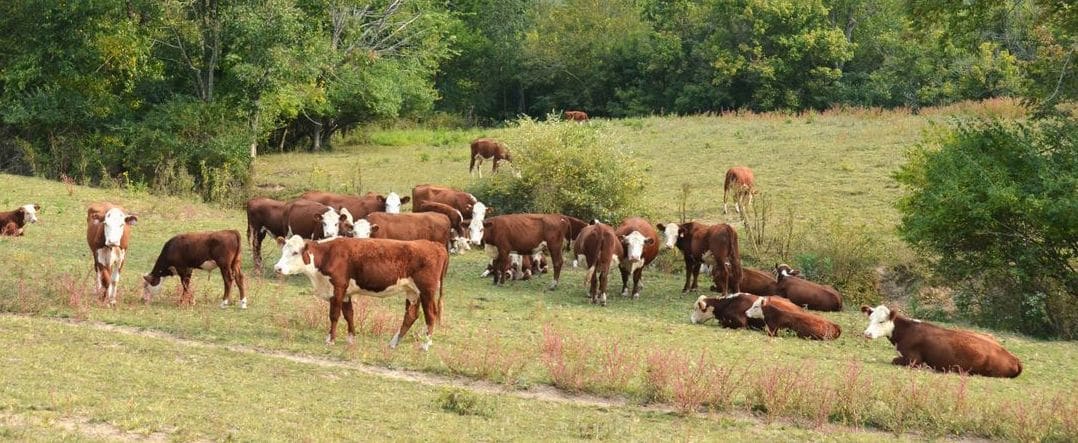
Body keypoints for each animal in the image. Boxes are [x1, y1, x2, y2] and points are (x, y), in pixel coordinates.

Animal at [273, 236, 449, 350]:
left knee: (431, 315)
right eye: (283, 251)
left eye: (295, 252)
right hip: (412, 291)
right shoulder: (346, 293)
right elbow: (349, 314)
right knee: (411, 315)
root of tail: (435, 245)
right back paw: (394, 343)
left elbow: (334, 315)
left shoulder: (338, 287)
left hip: (427, 290)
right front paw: (351, 339)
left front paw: (330, 339)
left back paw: (425, 344)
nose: (277, 268)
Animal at [861, 305, 1022, 378]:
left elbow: (895, 360)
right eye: (870, 319)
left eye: (882, 321)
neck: (907, 331)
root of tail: (1014, 358)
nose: (867, 334)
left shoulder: (914, 360)